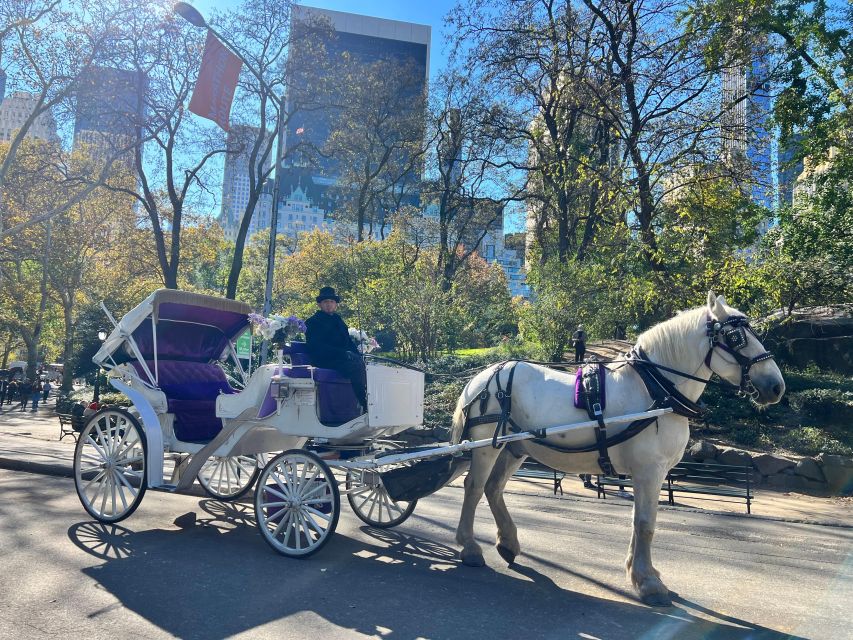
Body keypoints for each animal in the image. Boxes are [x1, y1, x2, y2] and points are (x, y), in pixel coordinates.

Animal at [450, 292, 784, 608]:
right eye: (736, 337)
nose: (776, 386)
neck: (656, 389)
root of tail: (483, 377)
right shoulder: (649, 470)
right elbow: (646, 523)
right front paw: (649, 583)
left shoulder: (647, 474)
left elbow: (640, 521)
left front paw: (641, 572)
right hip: (486, 446)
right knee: (474, 486)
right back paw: (469, 547)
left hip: (513, 448)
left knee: (493, 488)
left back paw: (508, 543)